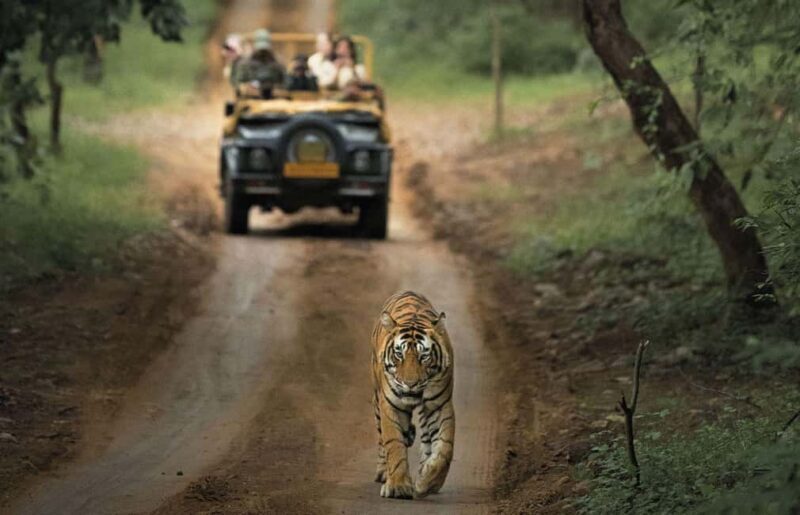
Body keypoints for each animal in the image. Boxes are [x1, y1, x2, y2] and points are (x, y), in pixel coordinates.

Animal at [371, 291, 455, 499]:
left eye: (424, 356)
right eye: (399, 354)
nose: (410, 384)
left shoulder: (439, 405)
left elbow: (445, 448)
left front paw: (427, 482)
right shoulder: (390, 405)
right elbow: (394, 444)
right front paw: (398, 486)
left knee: (426, 440)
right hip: (377, 400)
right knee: (381, 438)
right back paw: (383, 472)